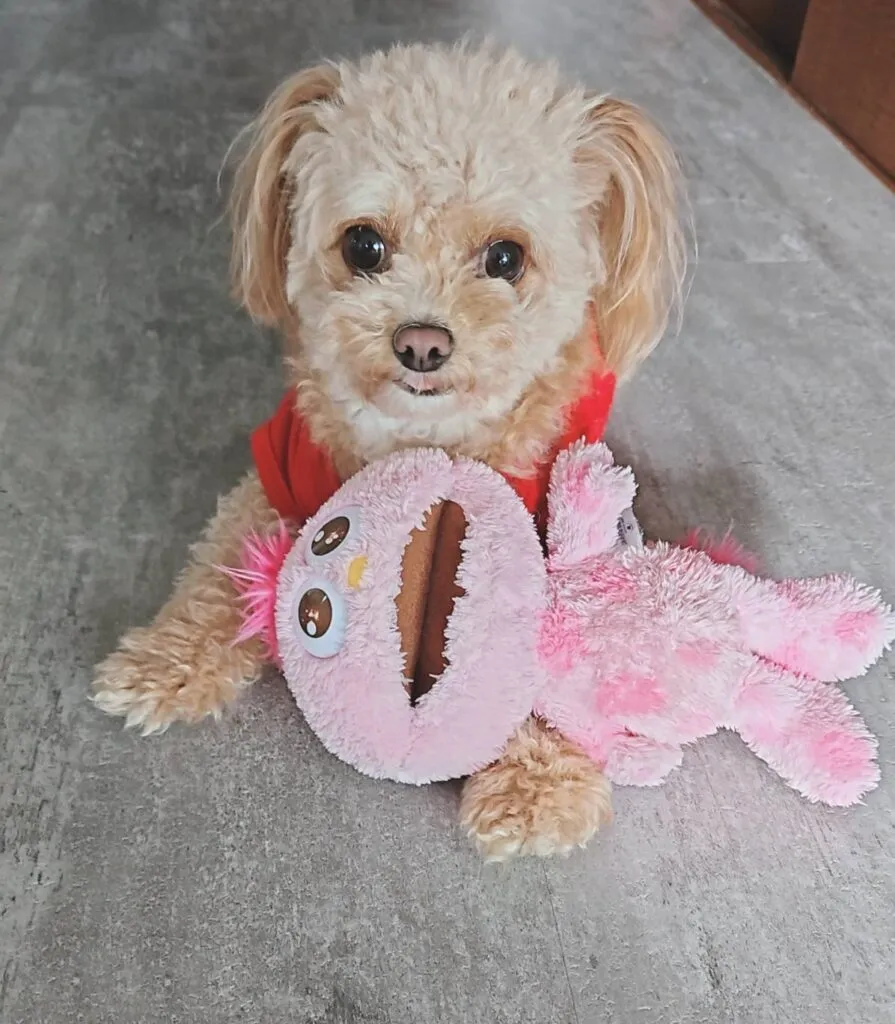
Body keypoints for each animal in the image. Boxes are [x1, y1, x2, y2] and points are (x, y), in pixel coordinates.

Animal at [93, 41, 686, 860]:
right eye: (364, 244)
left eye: (506, 258)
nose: (421, 343)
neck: (419, 435)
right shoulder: (280, 470)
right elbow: (219, 570)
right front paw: (165, 660)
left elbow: (553, 647)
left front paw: (537, 788)